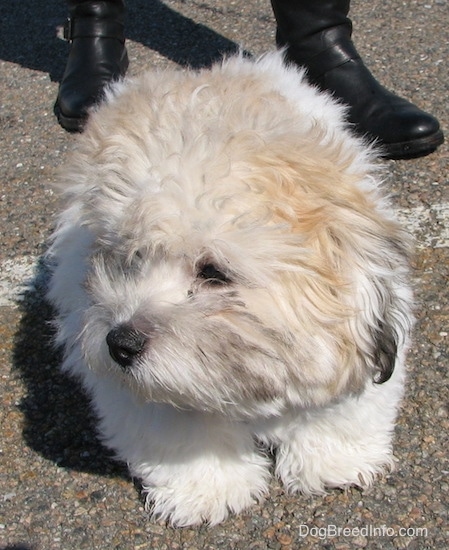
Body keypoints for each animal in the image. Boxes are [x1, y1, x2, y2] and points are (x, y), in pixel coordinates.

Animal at [48, 52, 412, 532]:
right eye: (132, 258)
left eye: (213, 273)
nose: (120, 343)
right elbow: (179, 425)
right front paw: (206, 488)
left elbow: (339, 408)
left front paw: (334, 460)